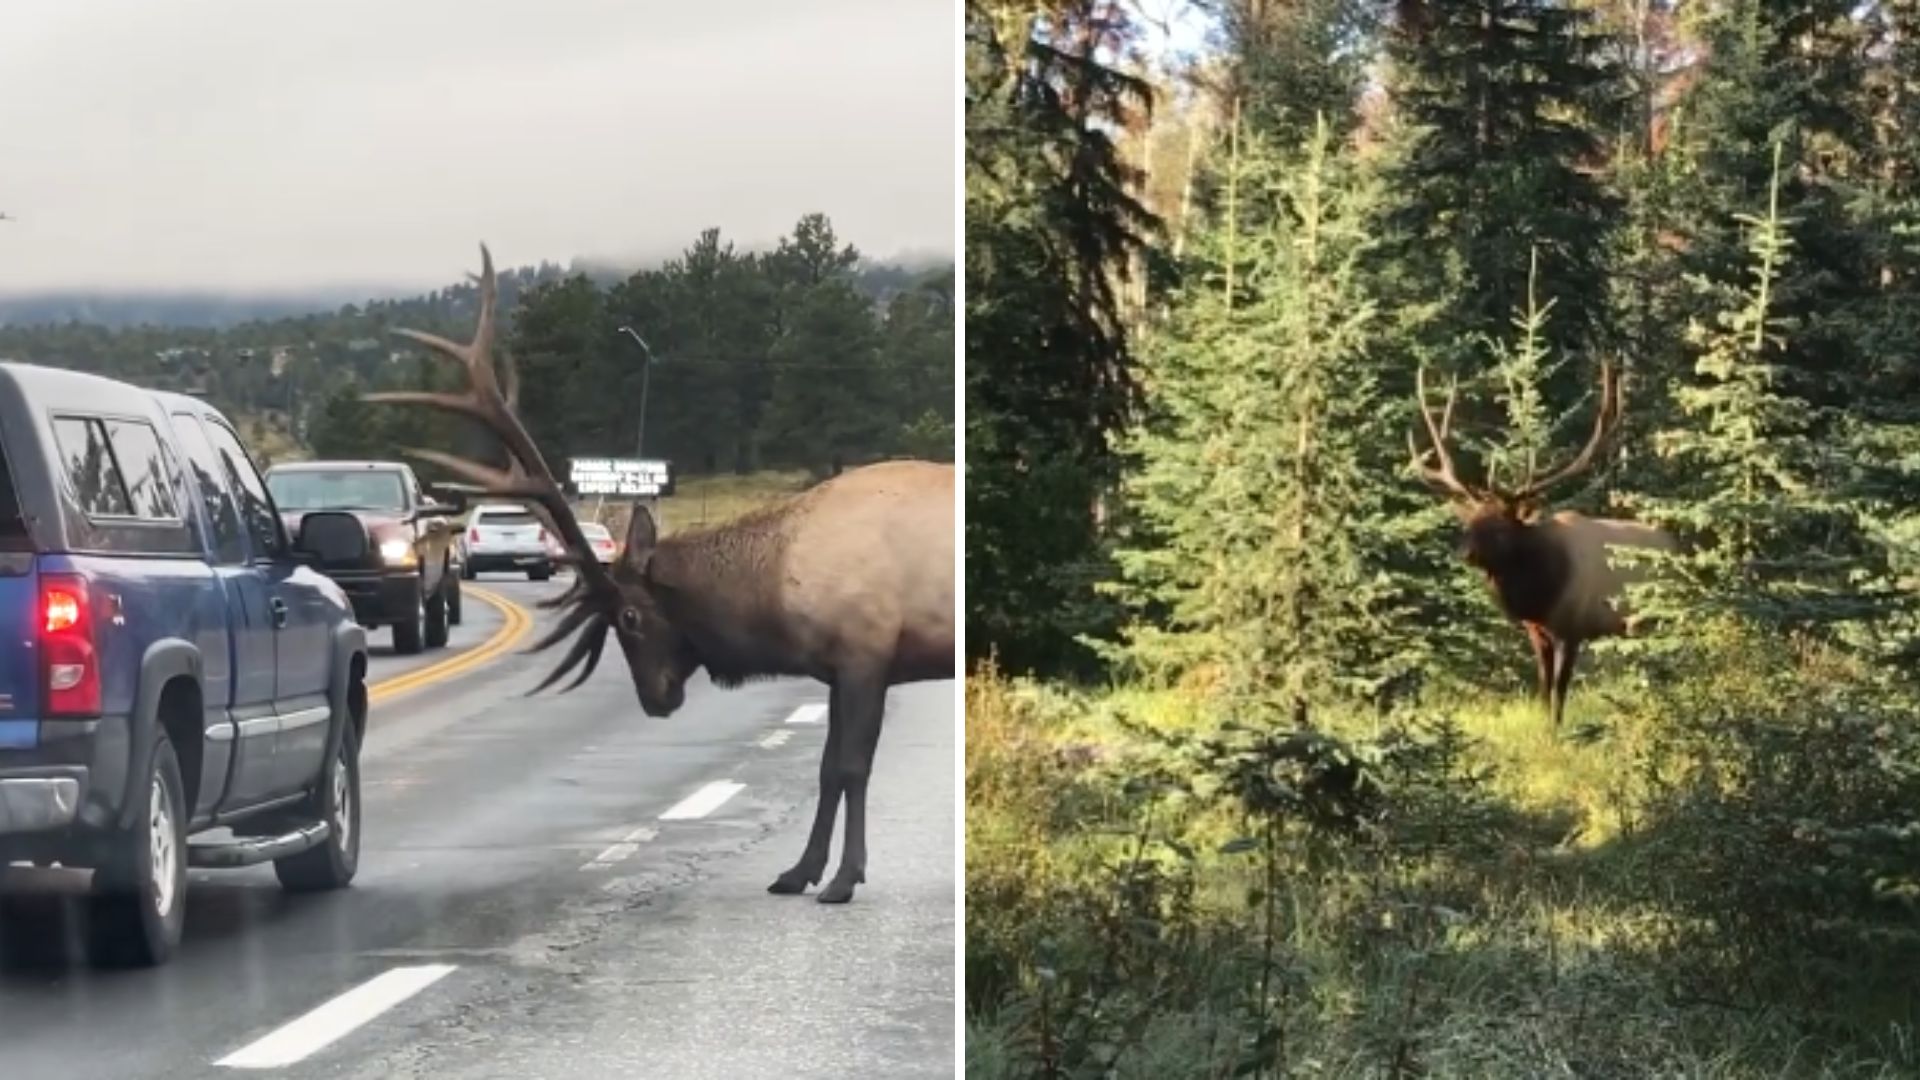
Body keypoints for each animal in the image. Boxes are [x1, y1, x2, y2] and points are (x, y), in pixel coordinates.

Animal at [364, 244, 952, 899]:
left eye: (629, 615)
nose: (656, 699)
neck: (776, 592)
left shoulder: (865, 653)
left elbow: (851, 767)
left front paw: (845, 878)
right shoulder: (837, 667)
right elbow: (826, 769)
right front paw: (799, 871)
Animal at [1405, 357, 1674, 726]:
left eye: (1500, 527)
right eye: (1470, 524)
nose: (1464, 554)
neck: (1540, 593)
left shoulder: (1572, 628)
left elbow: (1560, 693)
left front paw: (1555, 732)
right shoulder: (1537, 632)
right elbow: (1544, 690)